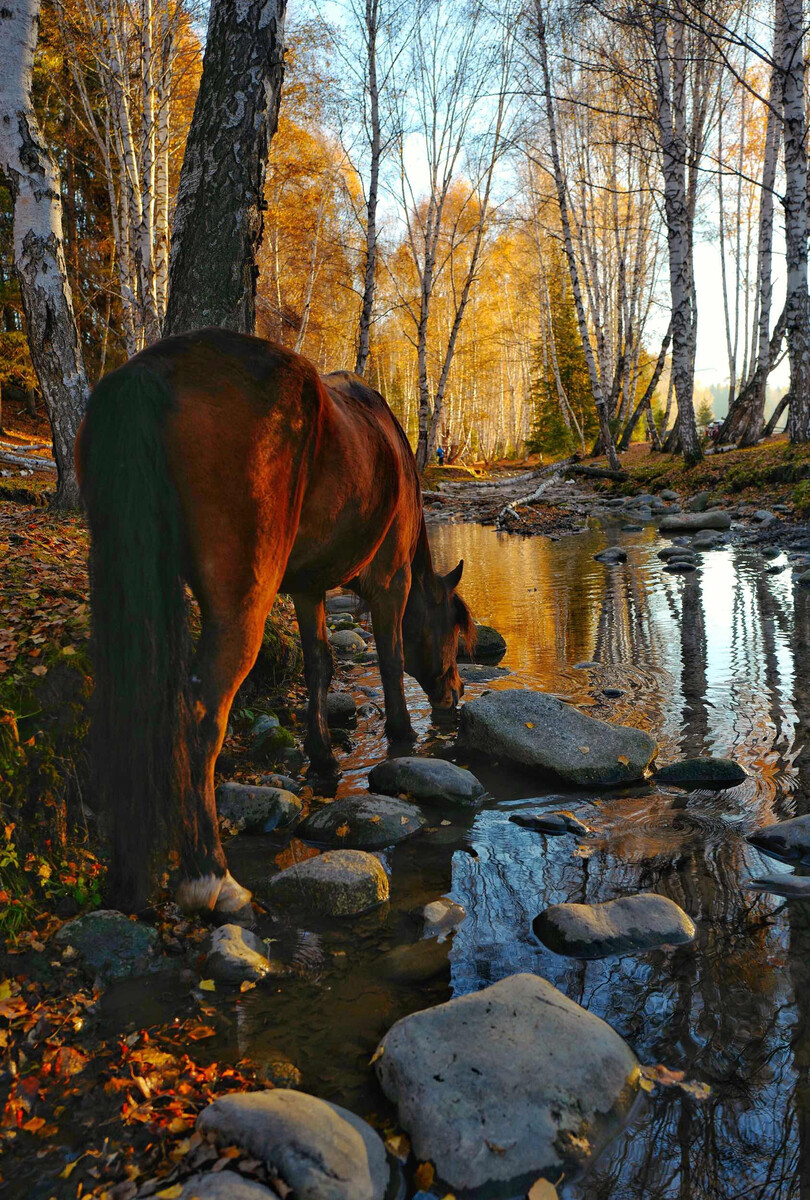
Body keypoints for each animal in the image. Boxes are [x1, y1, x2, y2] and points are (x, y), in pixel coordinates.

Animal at [76, 324, 475, 912]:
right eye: (452, 627)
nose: (454, 693)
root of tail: (150, 370)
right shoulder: (391, 581)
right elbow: (389, 660)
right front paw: (403, 739)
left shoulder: (308, 588)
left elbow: (319, 666)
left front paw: (323, 757)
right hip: (242, 603)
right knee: (200, 716)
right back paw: (210, 875)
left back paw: (130, 880)